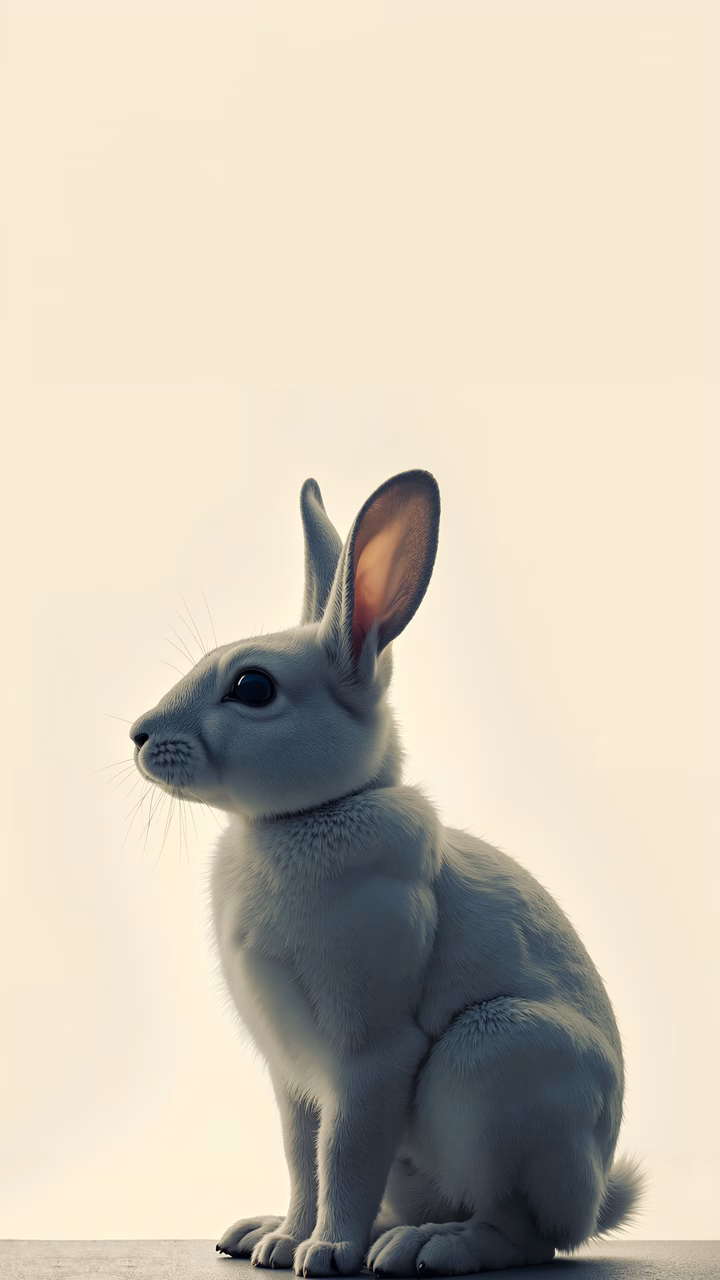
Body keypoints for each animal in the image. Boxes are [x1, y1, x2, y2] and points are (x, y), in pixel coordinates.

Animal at [129, 469, 647, 1276]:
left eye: (253, 688)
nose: (140, 735)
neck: (310, 813)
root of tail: (594, 1204)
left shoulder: (369, 1057)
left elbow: (343, 1155)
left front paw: (324, 1252)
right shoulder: (293, 1078)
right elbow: (302, 1159)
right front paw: (283, 1241)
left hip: (492, 1059)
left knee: (522, 1229)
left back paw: (425, 1247)